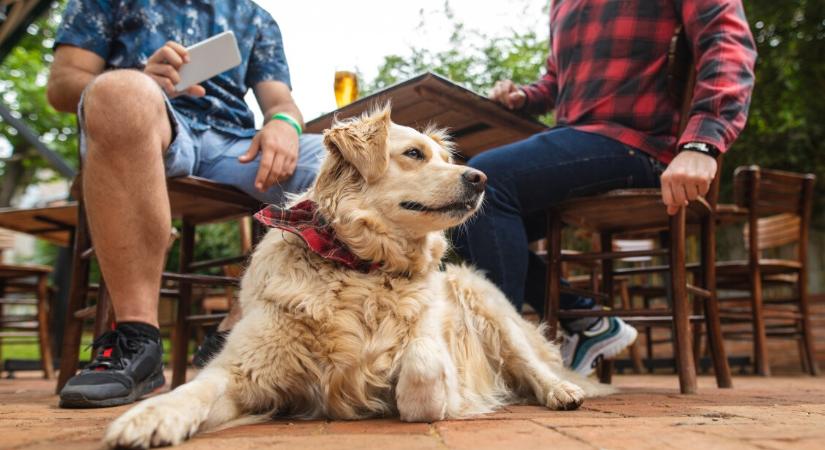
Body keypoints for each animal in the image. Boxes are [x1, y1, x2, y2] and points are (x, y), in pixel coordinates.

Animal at [104, 106, 612, 450]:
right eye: (413, 154)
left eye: (443, 157)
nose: (481, 178)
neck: (361, 268)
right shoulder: (246, 369)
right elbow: (195, 388)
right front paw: (148, 417)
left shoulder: (436, 351)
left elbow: (422, 371)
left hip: (487, 304)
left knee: (531, 365)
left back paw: (561, 391)